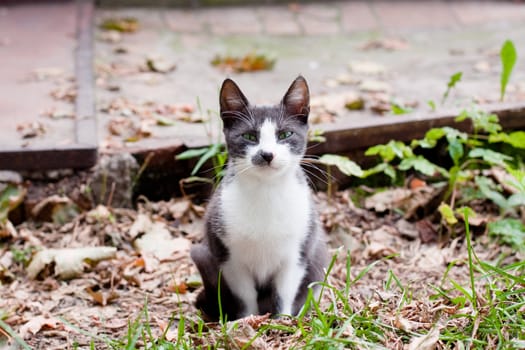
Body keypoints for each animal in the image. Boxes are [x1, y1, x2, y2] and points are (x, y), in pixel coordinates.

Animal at [188, 75, 328, 322]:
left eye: (285, 134)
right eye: (249, 136)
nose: (267, 154)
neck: (267, 192)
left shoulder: (297, 253)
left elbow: (284, 291)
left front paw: (282, 322)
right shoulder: (229, 256)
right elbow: (245, 295)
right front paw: (247, 321)